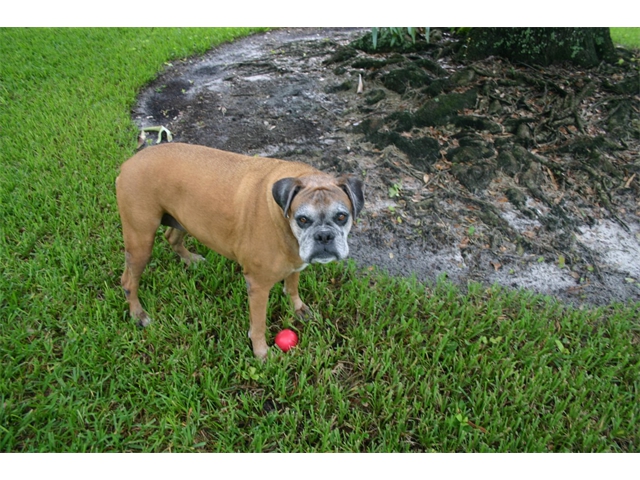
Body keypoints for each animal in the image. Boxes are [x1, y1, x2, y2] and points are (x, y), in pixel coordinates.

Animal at [116, 141, 364, 358]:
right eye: (302, 219)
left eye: (342, 216)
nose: (324, 235)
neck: (282, 218)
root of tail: (129, 163)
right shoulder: (258, 286)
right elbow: (259, 325)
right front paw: (261, 353)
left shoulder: (295, 265)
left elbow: (292, 287)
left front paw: (298, 308)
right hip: (140, 241)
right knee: (128, 281)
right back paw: (138, 314)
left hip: (184, 220)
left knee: (171, 237)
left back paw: (190, 259)